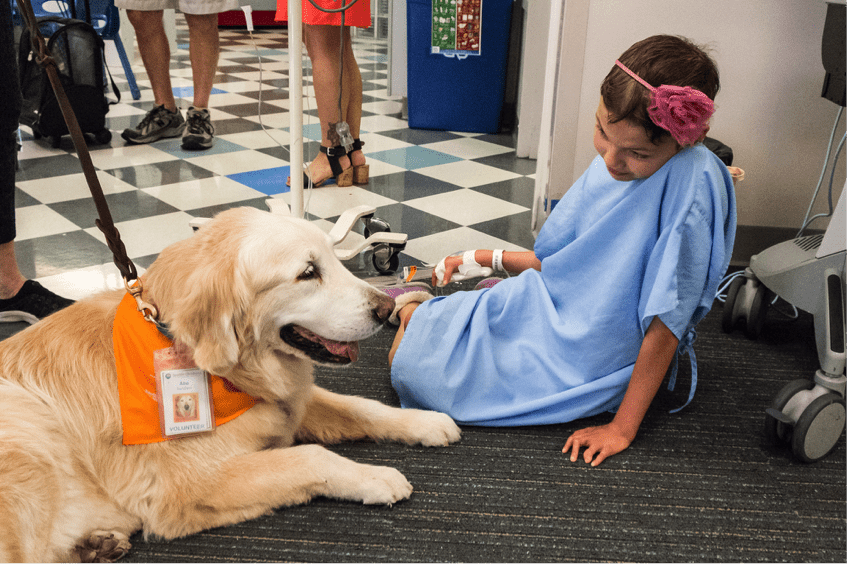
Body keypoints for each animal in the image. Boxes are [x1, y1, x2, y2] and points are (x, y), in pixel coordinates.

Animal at [0, 207, 460, 564]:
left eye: (334, 257)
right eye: (308, 273)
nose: (385, 309)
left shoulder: (285, 399)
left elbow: (362, 406)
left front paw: (426, 421)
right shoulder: (187, 484)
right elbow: (311, 457)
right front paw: (377, 477)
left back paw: (95, 545)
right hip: (25, 428)